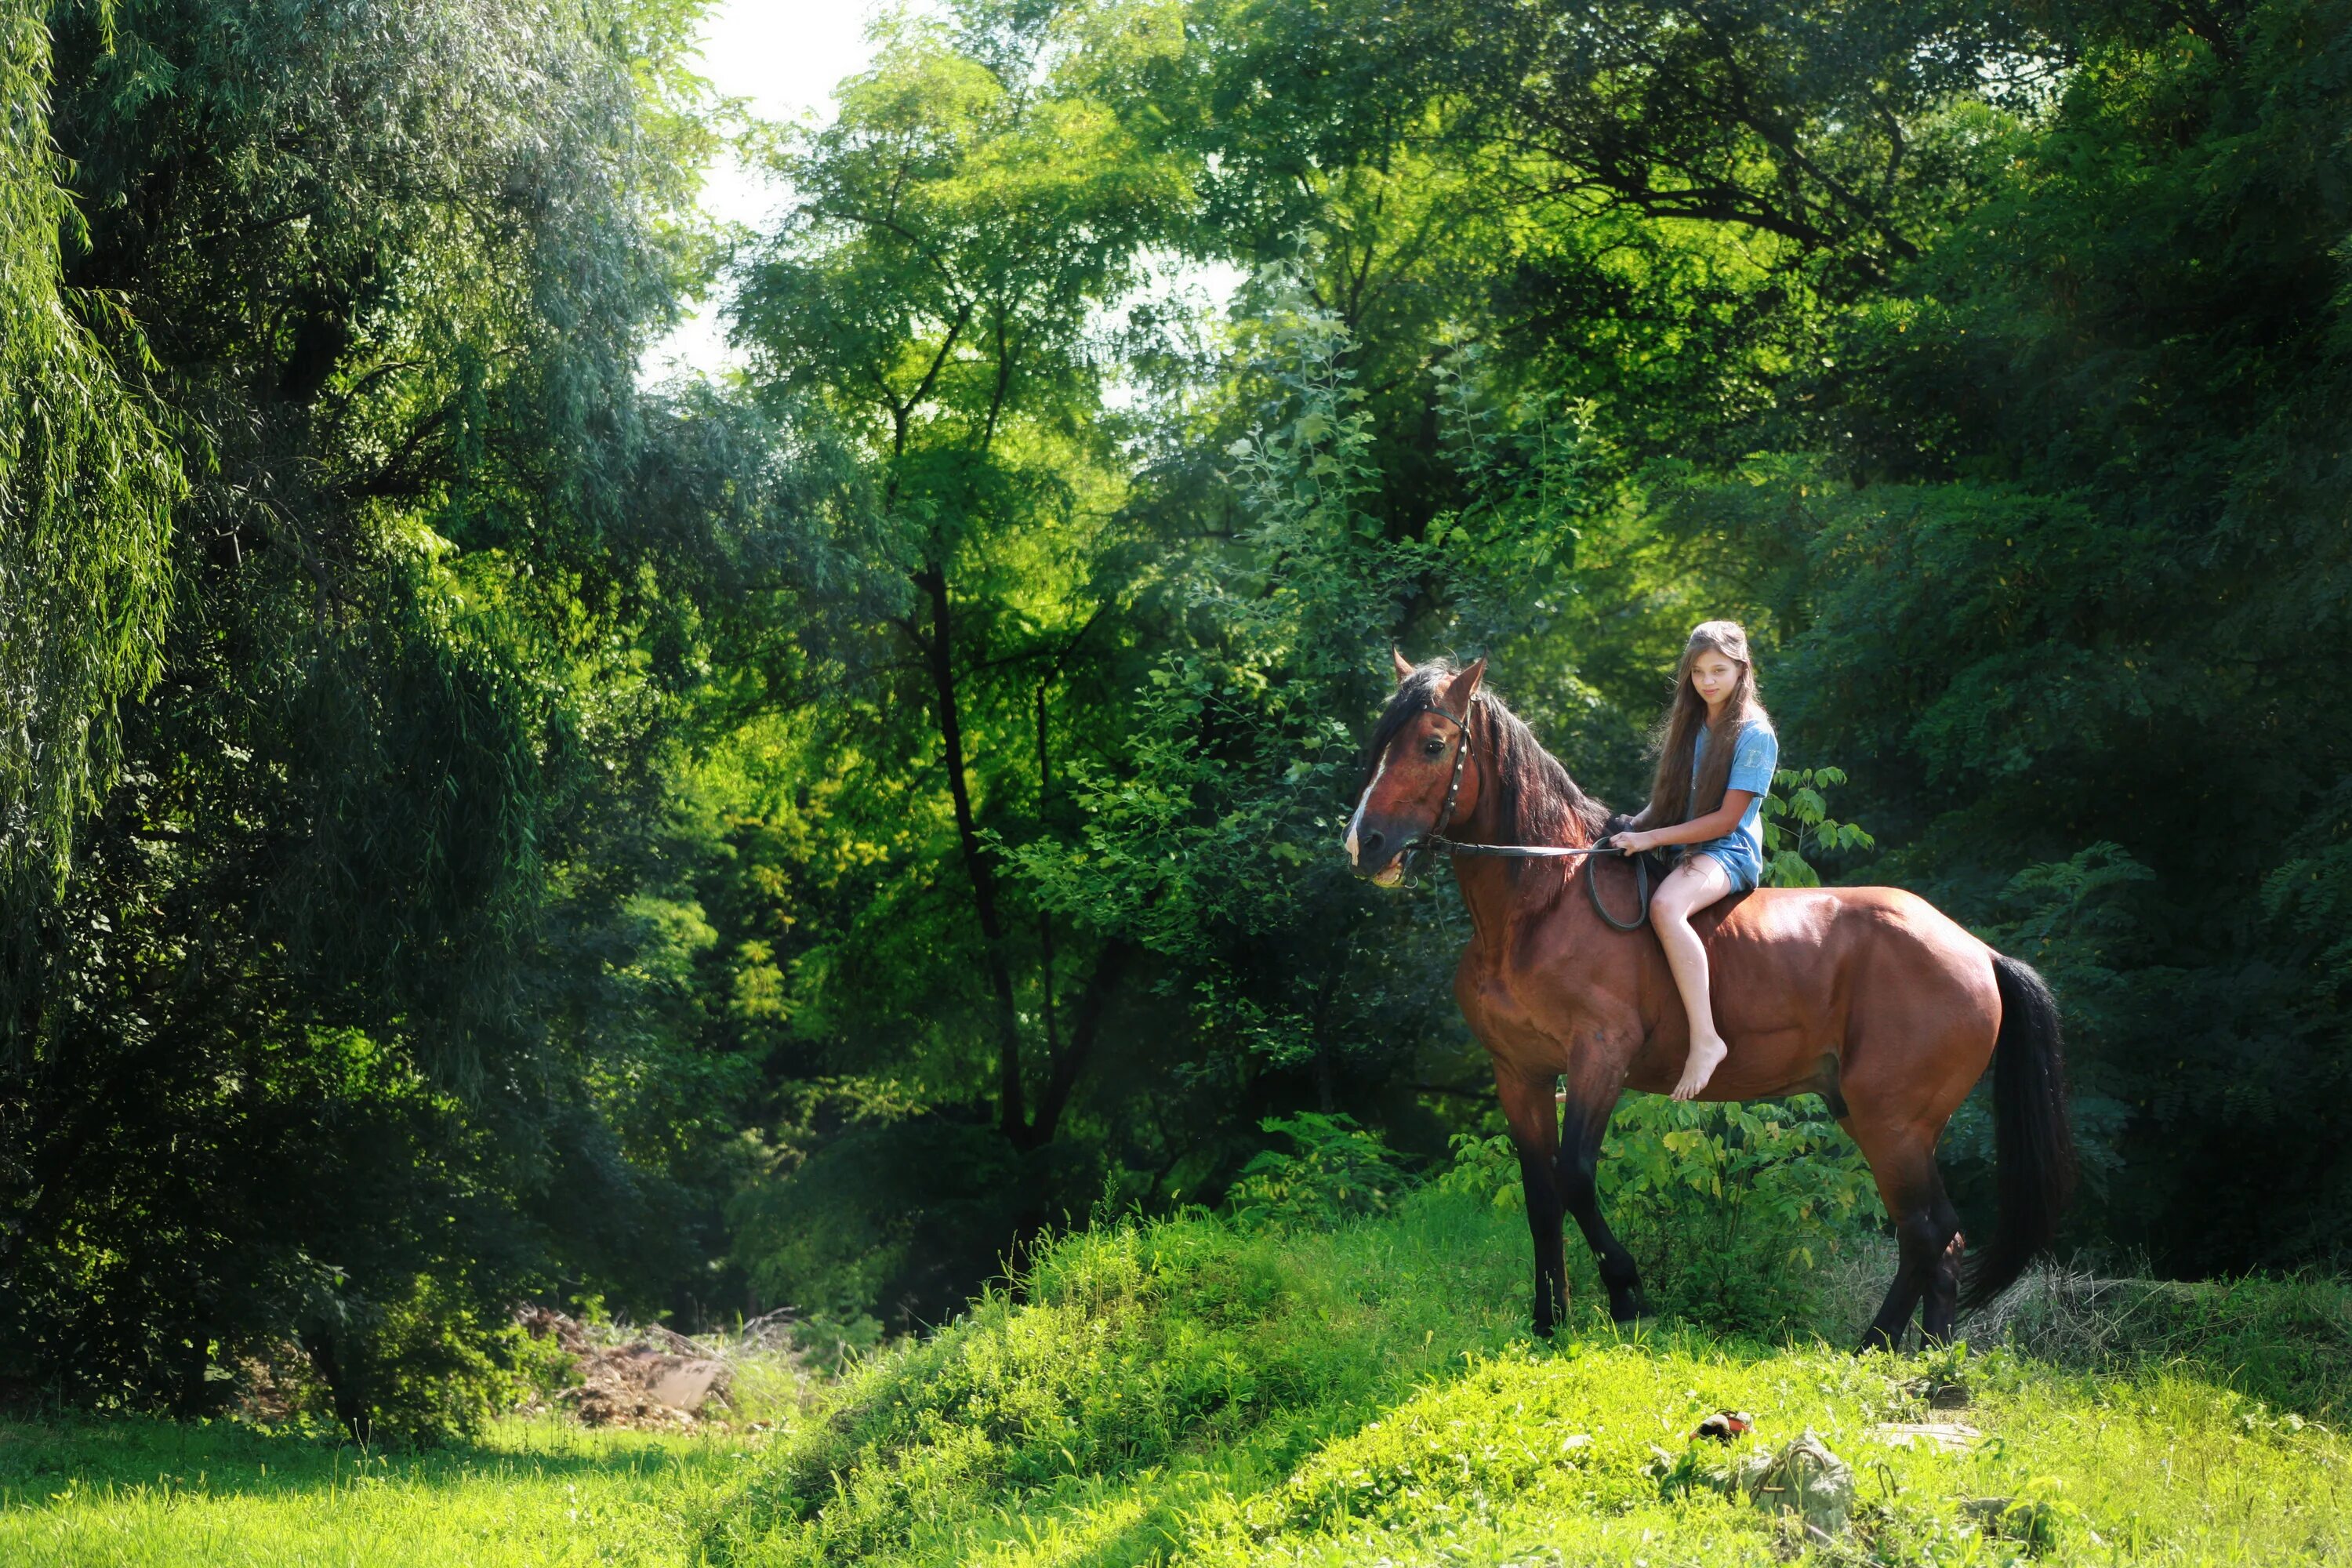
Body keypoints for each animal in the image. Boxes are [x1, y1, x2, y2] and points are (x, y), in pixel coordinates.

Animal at [1345, 658, 2079, 1345]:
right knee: (1928, 1237)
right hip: (1875, 1118)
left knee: (1932, 1236)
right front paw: (1550, 1323)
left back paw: (1913, 1361)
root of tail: (1978, 952)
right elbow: (1542, 1195)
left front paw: (1626, 1292)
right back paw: (1892, 1353)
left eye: (1433, 744)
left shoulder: (1599, 1057)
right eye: (1383, 740)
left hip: (1894, 1122)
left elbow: (1576, 1176)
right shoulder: (1519, 1073)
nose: (1364, 845)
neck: (1542, 902)